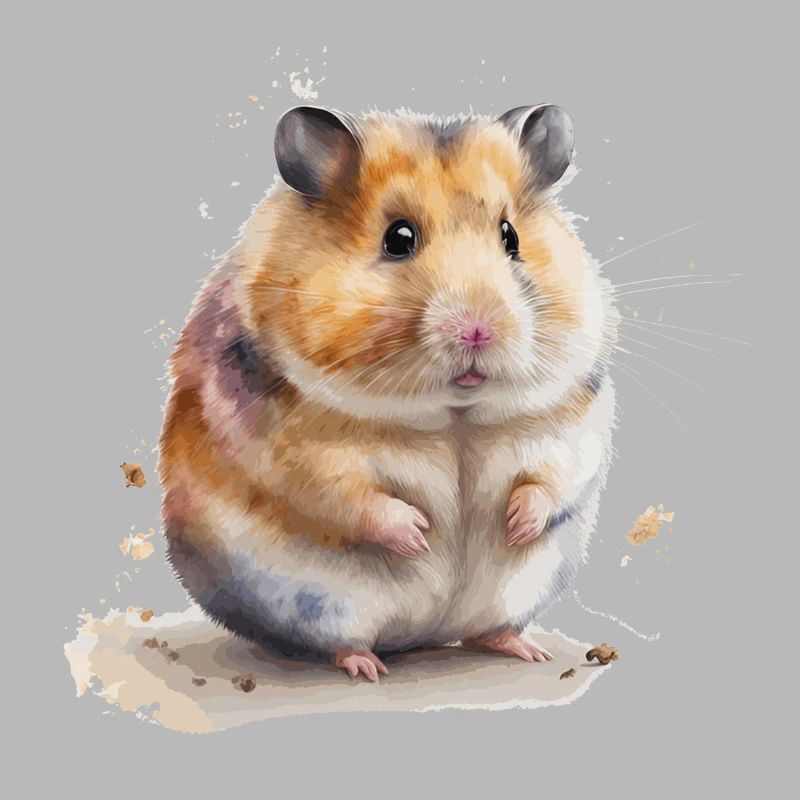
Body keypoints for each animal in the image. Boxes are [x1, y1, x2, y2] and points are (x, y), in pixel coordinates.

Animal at [158, 104, 618, 681]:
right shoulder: (295, 452)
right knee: (339, 640)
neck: (454, 413)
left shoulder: (571, 419)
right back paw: (367, 666)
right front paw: (421, 533)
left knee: (487, 629)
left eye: (510, 236)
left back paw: (525, 648)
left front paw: (515, 525)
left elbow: (552, 478)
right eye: (398, 238)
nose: (477, 330)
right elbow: (352, 496)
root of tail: (425, 636)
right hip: (321, 604)